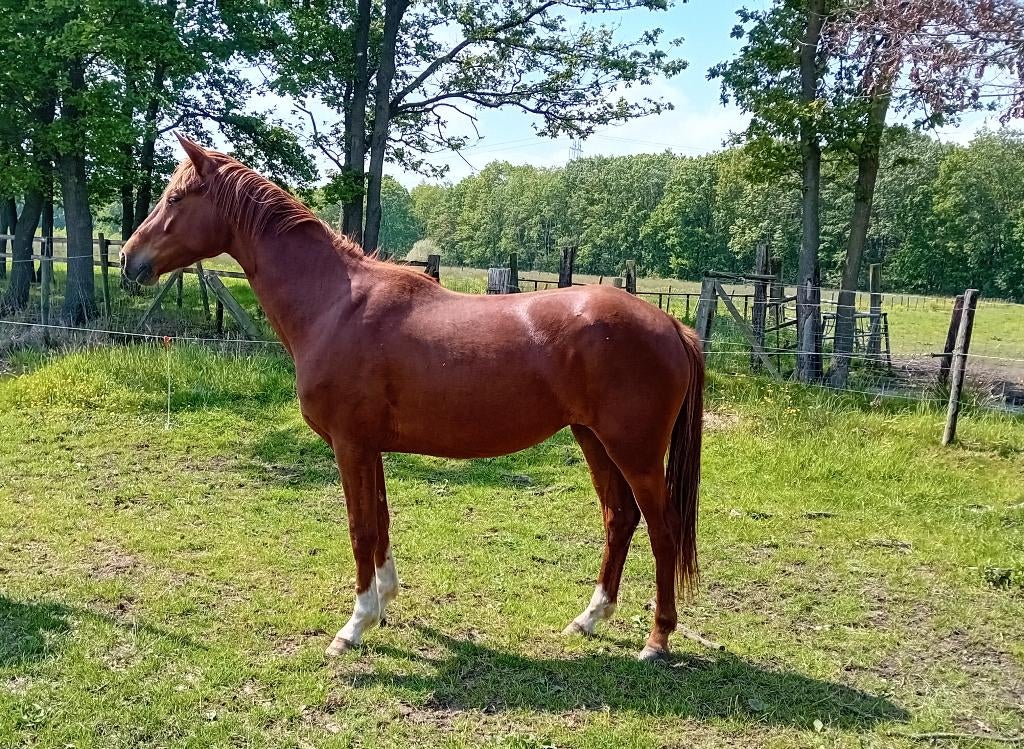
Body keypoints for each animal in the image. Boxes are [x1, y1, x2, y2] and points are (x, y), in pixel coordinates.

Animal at [121, 134, 705, 662]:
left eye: (176, 198)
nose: (129, 259)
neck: (336, 304)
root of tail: (671, 326)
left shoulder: (350, 445)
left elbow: (360, 530)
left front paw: (353, 627)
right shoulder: (370, 448)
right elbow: (380, 522)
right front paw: (382, 606)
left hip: (634, 453)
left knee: (663, 530)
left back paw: (657, 639)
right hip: (593, 441)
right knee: (619, 519)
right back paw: (589, 619)